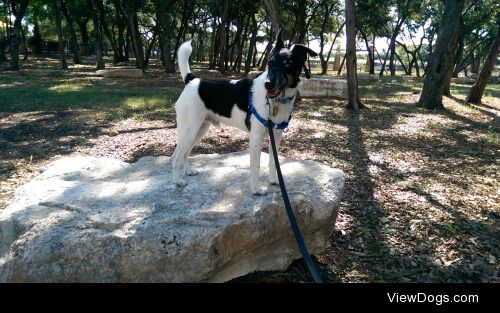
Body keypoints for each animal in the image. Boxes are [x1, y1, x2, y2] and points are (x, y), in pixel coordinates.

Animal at [172, 29, 316, 195]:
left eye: (287, 65)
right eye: (270, 62)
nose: (268, 84)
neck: (277, 101)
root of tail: (192, 80)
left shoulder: (276, 136)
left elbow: (273, 161)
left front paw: (274, 180)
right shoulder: (256, 137)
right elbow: (256, 165)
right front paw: (256, 189)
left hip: (199, 130)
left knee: (185, 152)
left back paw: (188, 171)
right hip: (189, 131)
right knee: (176, 156)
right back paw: (178, 181)